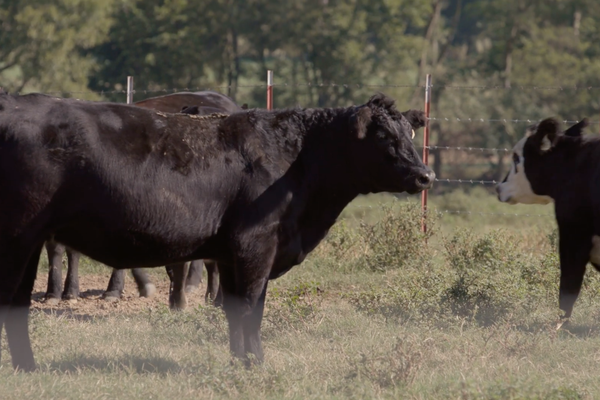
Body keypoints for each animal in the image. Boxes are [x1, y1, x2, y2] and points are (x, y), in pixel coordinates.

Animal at [0, 91, 434, 372]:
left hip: (31, 241)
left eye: (410, 134)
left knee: (19, 302)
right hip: (17, 236)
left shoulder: (228, 254)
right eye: (383, 136)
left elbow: (234, 310)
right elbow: (252, 308)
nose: (425, 175)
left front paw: (239, 362)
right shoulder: (256, 245)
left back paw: (29, 368)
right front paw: (255, 366)